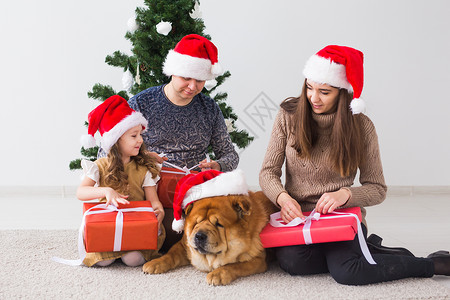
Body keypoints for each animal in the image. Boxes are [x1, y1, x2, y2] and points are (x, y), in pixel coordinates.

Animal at [143, 170, 278, 284]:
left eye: (219, 224)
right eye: (196, 222)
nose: (199, 236)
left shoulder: (258, 260)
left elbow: (235, 265)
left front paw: (218, 274)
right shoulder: (183, 245)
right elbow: (170, 255)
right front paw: (154, 263)